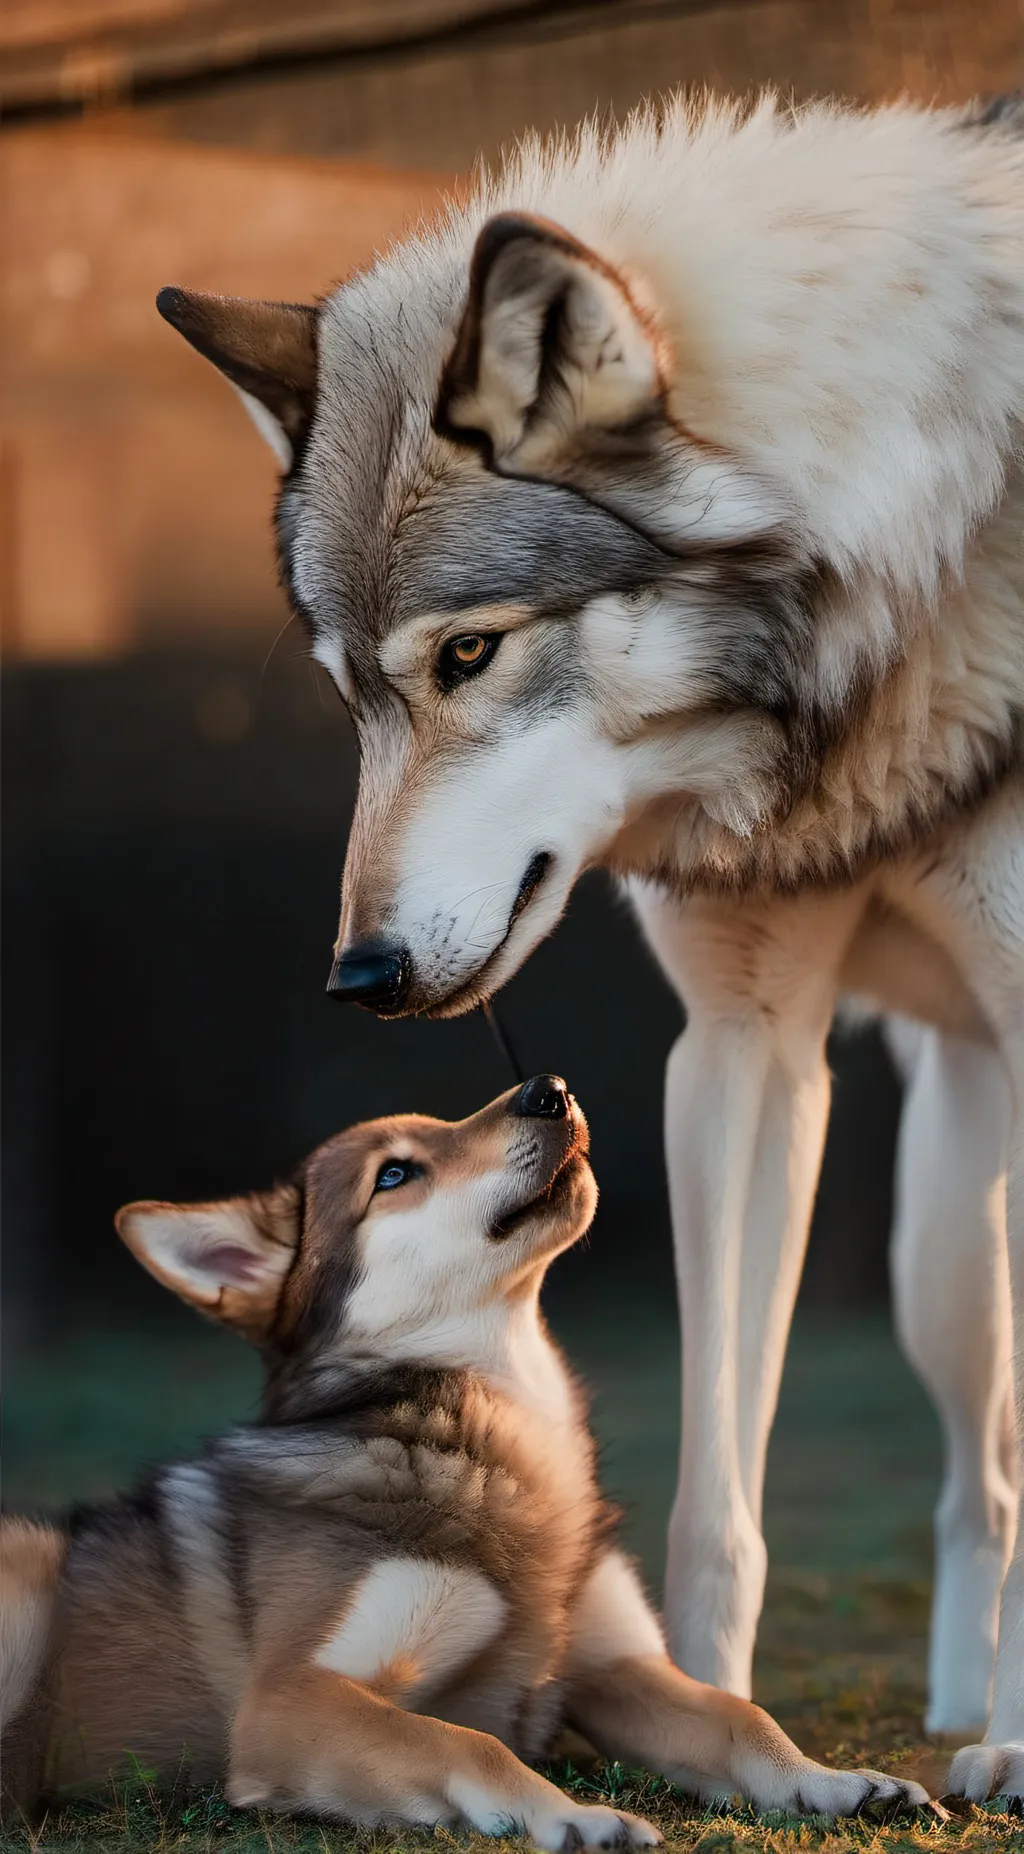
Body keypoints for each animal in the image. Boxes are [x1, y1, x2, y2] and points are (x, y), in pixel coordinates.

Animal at [1, 1079, 930, 1829]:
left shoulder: (613, 1666)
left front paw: (834, 1781)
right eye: (393, 1175)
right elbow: (465, 1743)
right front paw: (575, 1820)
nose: (550, 1087)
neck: (506, 1433)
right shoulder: (289, 1703)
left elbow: (743, 1716)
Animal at [156, 92, 1024, 1799]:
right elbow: (715, 1497)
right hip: (941, 1261)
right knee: (985, 1485)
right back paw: (965, 1698)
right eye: (353, 692)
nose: (360, 976)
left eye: (470, 653)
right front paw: (716, 1719)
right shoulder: (746, 1052)